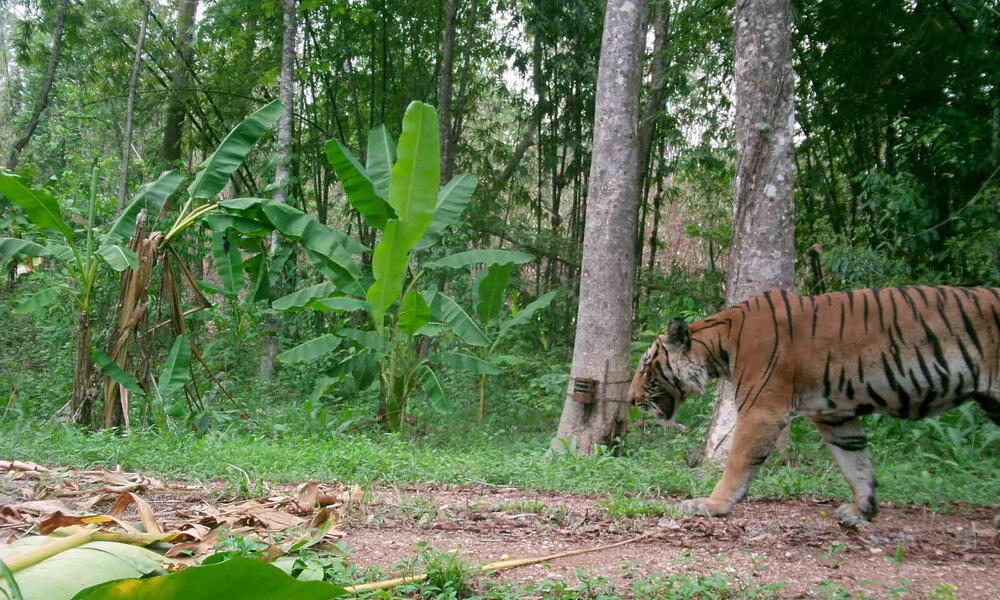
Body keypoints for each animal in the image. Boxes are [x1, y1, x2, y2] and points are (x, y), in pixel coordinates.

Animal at [632, 286, 1000, 524]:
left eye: (646, 367)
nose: (632, 400)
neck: (720, 345)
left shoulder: (762, 410)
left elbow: (737, 462)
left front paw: (712, 503)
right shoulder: (836, 416)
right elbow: (856, 464)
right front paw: (862, 510)